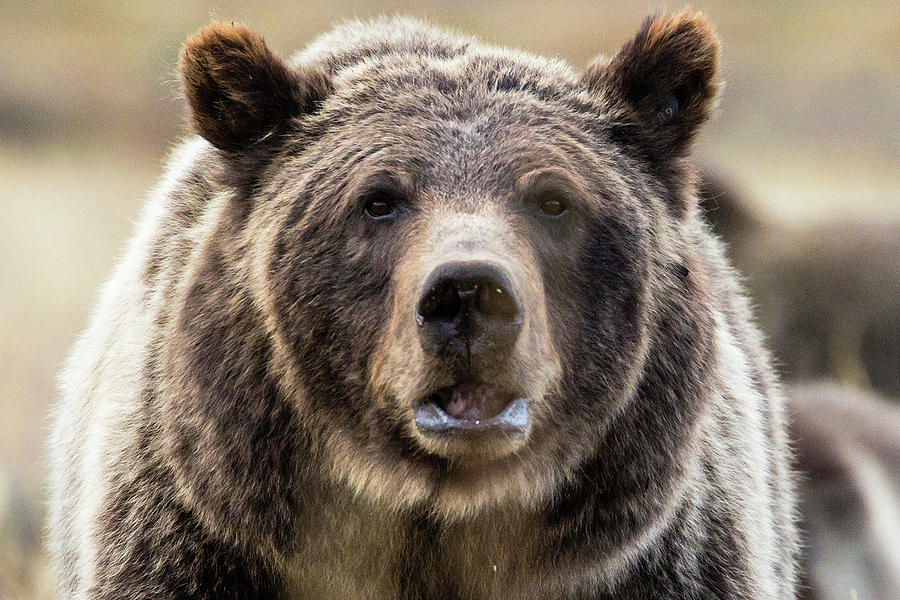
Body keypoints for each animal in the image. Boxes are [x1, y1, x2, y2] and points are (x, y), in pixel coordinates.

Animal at [49, 10, 796, 600]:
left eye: (554, 200)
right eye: (378, 199)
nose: (468, 294)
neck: (435, 517)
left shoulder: (656, 565)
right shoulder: (202, 543)